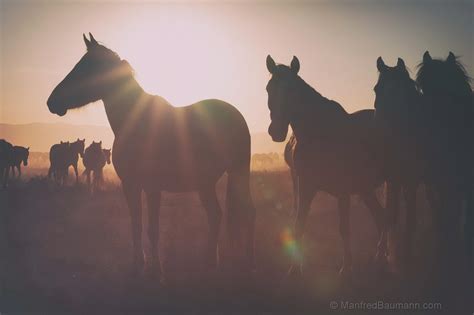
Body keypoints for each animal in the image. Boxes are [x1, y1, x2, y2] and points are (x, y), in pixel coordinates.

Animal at [46, 33, 258, 278]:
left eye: (86, 67)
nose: (52, 102)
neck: (136, 122)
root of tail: (236, 115)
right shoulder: (131, 185)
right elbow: (136, 225)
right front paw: (138, 264)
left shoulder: (153, 187)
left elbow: (153, 229)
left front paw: (157, 270)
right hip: (206, 183)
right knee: (216, 215)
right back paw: (210, 263)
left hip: (239, 172)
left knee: (248, 212)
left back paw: (248, 261)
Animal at [264, 55, 386, 278]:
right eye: (269, 88)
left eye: (292, 89)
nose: (276, 131)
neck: (319, 134)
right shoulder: (306, 186)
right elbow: (299, 224)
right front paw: (294, 268)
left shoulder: (343, 192)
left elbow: (344, 228)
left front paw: (346, 267)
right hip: (365, 189)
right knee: (382, 217)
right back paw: (380, 258)